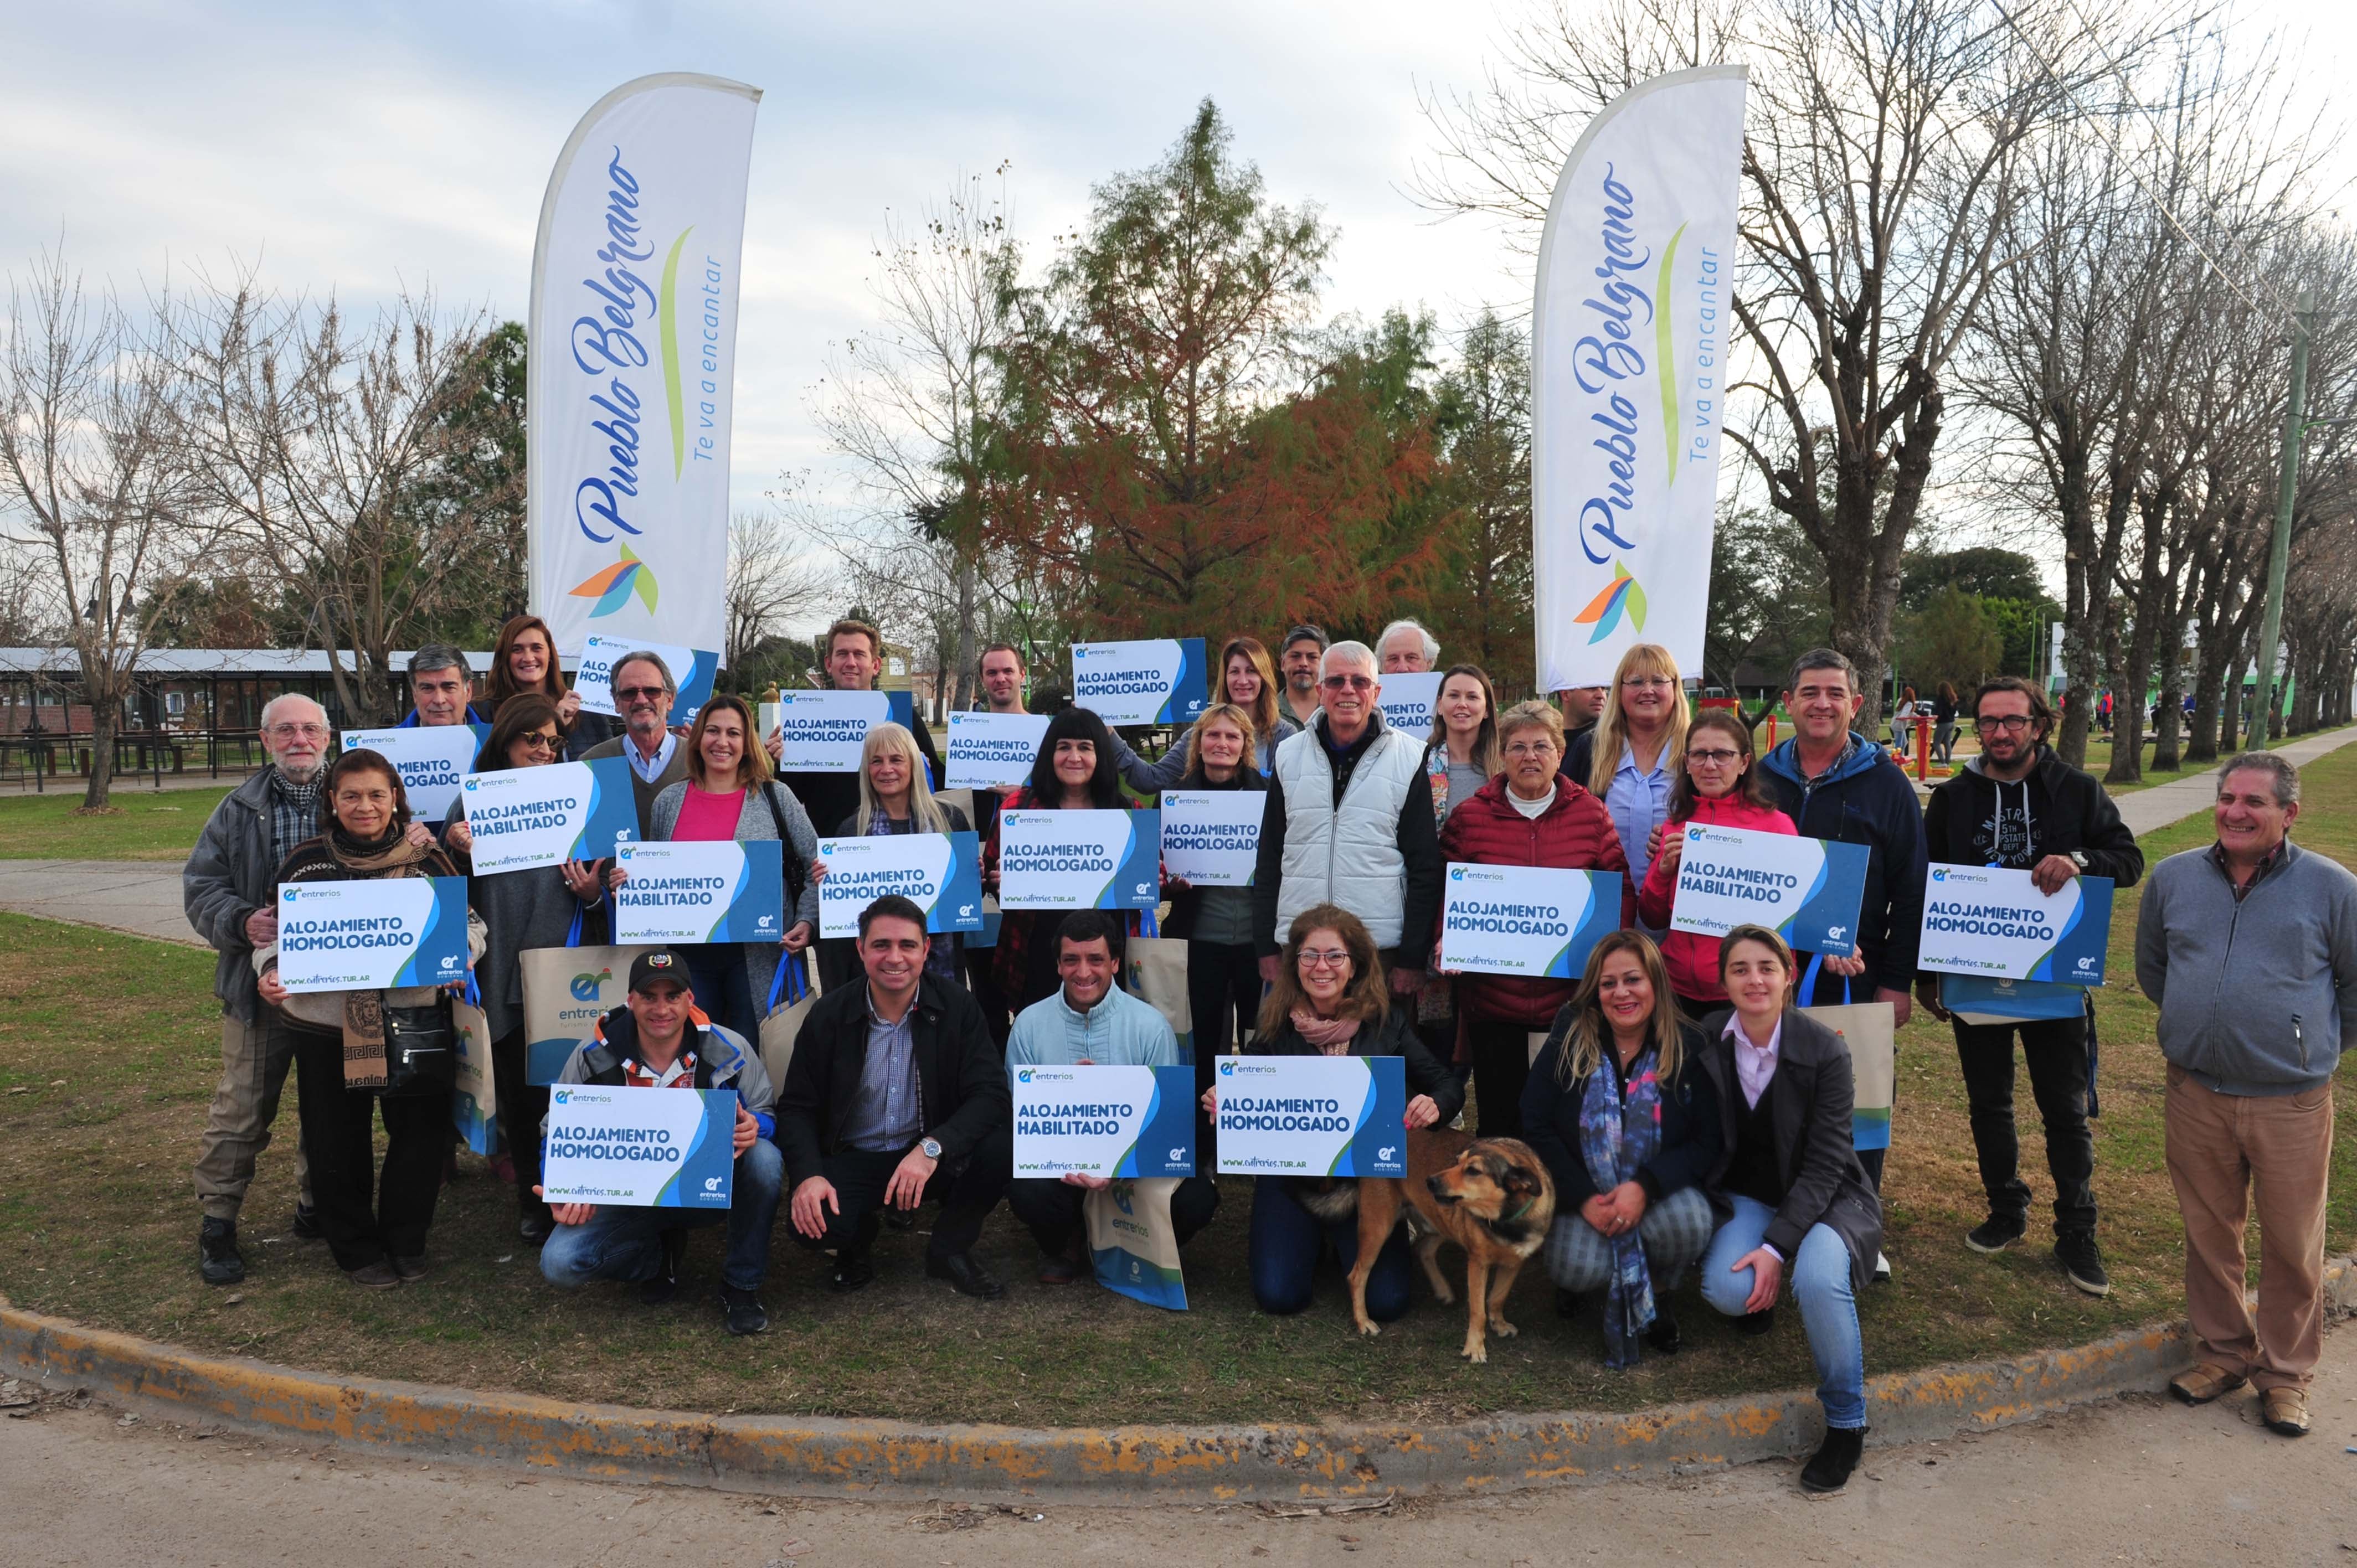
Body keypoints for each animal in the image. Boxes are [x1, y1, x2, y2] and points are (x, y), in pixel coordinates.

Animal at [1357, 1127, 1555, 1358]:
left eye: (1474, 1171)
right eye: (1457, 1161)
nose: (1429, 1181)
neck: (1506, 1220)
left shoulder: (1514, 1263)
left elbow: (1498, 1298)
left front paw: (1499, 1324)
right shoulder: (1478, 1263)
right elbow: (1478, 1311)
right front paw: (1475, 1347)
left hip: (1442, 1220)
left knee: (1424, 1249)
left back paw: (1442, 1289)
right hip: (1378, 1228)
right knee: (1356, 1276)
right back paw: (1363, 1321)